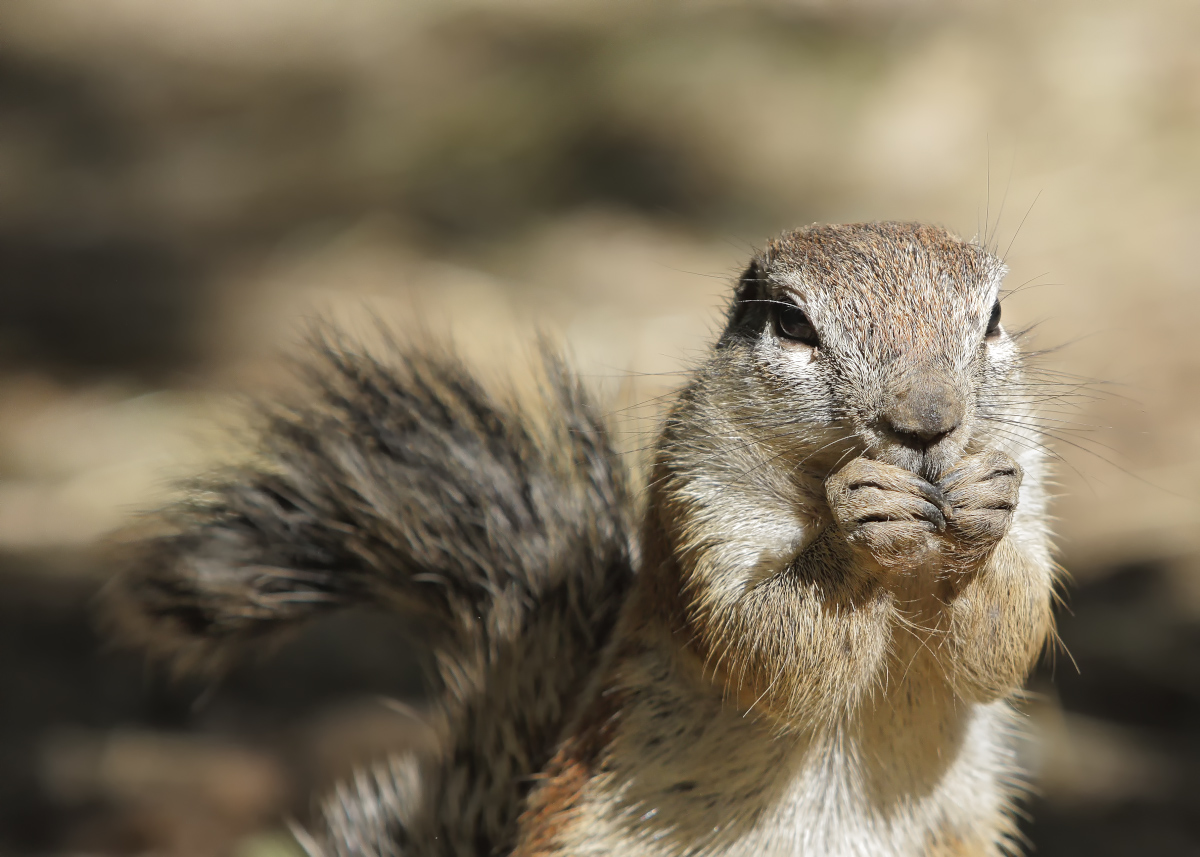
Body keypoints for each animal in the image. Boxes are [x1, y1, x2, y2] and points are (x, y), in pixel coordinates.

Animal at [105, 222, 1060, 854]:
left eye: (992, 317)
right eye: (791, 322)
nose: (928, 422)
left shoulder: (1034, 480)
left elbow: (1004, 639)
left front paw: (979, 505)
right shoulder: (695, 503)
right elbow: (770, 649)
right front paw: (858, 521)